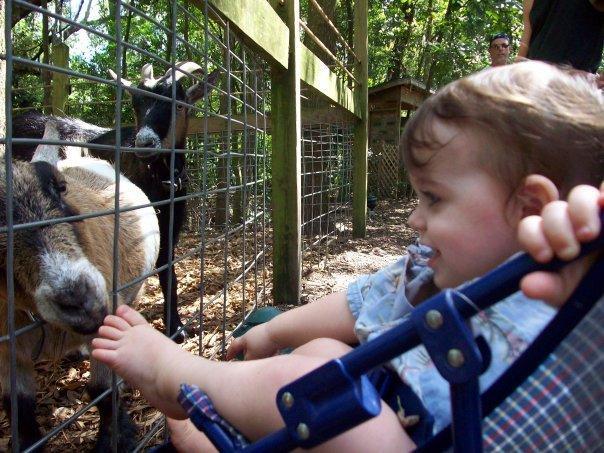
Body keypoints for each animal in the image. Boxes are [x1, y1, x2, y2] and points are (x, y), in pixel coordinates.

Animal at [0, 122, 160, 450]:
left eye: (60, 188)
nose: (80, 299)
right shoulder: (9, 350)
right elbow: (18, 407)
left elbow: (102, 387)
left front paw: (117, 437)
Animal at [12, 61, 219, 340]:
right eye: (135, 104)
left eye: (179, 105)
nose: (144, 143)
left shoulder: (169, 227)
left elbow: (169, 273)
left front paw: (176, 327)